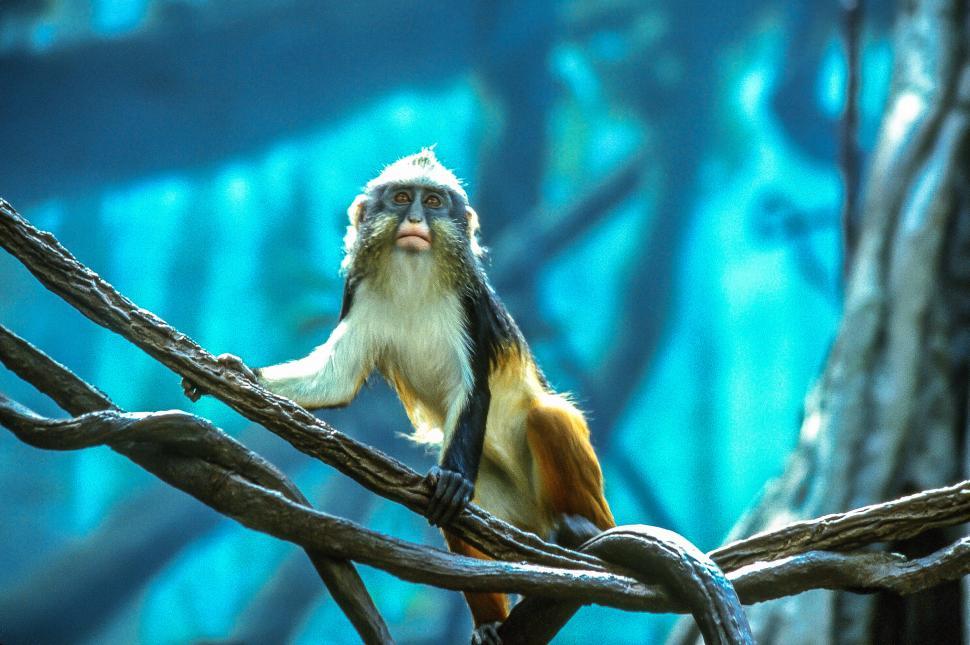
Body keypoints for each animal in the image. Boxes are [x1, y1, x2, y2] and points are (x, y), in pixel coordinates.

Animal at [183, 149, 614, 644]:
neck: (413, 274)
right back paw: (490, 621)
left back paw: (582, 528)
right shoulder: (360, 293)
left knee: (546, 418)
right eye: (403, 198)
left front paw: (454, 480)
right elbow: (336, 378)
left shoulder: (468, 303)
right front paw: (237, 372)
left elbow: (474, 389)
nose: (414, 219)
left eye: (433, 201)